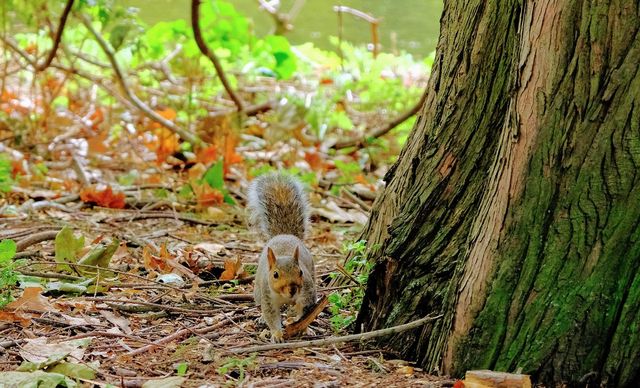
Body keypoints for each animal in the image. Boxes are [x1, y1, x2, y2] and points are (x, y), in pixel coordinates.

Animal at [248, 174, 318, 342]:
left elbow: (306, 312)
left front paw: (301, 323)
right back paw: (261, 318)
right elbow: (271, 316)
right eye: (275, 275)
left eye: (300, 272)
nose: (292, 289)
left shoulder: (308, 291)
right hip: (258, 291)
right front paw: (277, 334)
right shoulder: (268, 296)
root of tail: (284, 235)